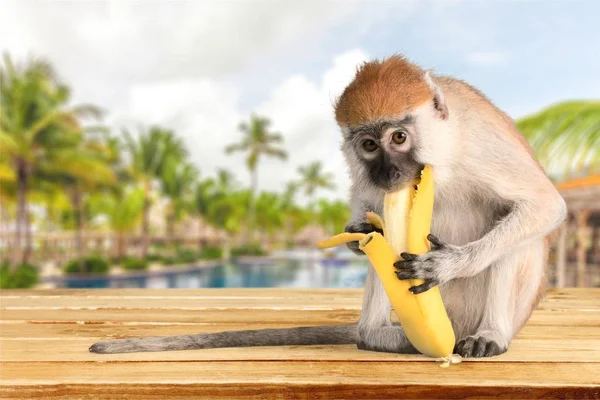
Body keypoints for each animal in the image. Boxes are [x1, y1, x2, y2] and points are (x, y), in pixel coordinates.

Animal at [88, 54, 564, 358]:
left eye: (399, 137)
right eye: (369, 145)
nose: (388, 171)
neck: (442, 153)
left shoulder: (479, 142)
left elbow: (544, 206)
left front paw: (445, 264)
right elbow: (368, 210)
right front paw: (356, 232)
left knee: (517, 233)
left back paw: (489, 334)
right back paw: (375, 336)